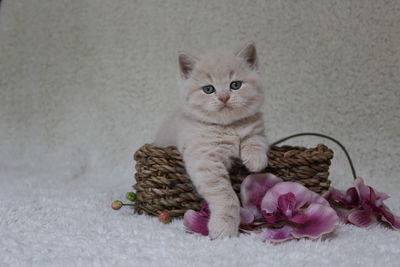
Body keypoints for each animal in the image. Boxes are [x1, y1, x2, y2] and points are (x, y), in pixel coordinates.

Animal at [155, 43, 268, 240]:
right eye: (208, 89)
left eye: (235, 85)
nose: (224, 97)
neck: (228, 127)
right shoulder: (205, 160)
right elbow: (226, 195)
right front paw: (224, 227)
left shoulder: (257, 129)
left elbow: (255, 139)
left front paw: (256, 160)